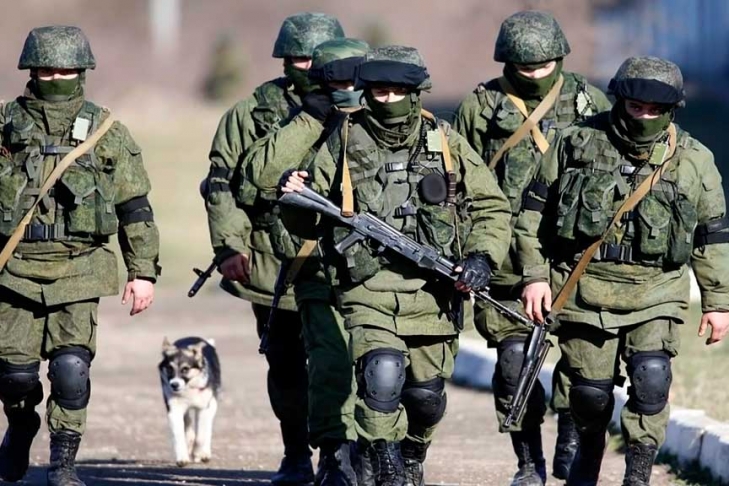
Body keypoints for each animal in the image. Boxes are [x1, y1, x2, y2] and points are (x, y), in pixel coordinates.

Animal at [159, 336, 221, 466]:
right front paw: (182, 458)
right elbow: (178, 434)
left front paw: (198, 453)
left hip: (212, 404)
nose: (174, 385)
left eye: (185, 369)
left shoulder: (203, 408)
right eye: (169, 368)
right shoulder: (174, 410)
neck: (188, 388)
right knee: (188, 426)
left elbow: (201, 435)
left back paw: (204, 453)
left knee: (207, 427)